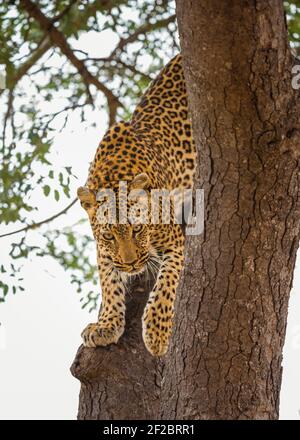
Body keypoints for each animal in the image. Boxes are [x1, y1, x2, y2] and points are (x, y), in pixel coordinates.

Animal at [76, 54, 196, 358]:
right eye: (109, 235)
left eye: (138, 230)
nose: (130, 264)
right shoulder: (103, 250)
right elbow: (108, 282)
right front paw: (106, 324)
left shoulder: (176, 242)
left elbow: (166, 283)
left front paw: (157, 332)